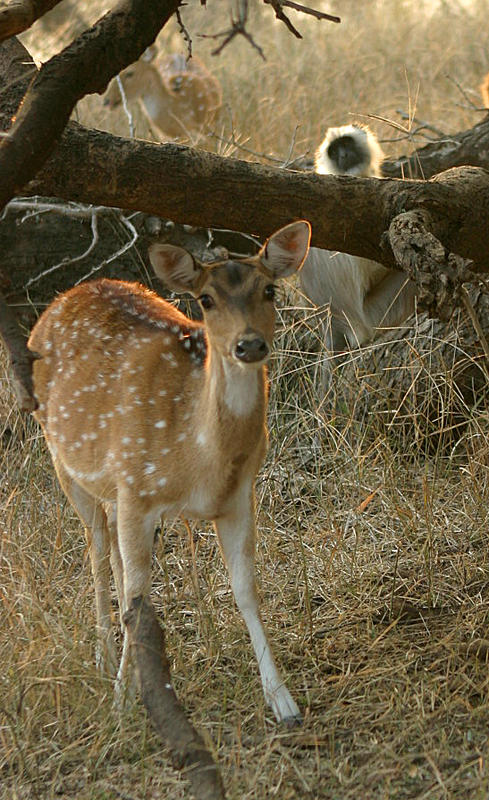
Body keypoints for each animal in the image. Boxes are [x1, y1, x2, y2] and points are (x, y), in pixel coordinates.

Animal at [27, 219, 308, 724]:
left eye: (270, 290)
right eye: (207, 299)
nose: (249, 344)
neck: (201, 459)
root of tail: (62, 298)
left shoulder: (239, 496)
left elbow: (246, 589)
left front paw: (283, 701)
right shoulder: (137, 490)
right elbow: (139, 597)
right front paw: (122, 701)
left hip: (114, 488)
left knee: (117, 561)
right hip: (65, 461)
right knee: (97, 552)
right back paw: (103, 655)